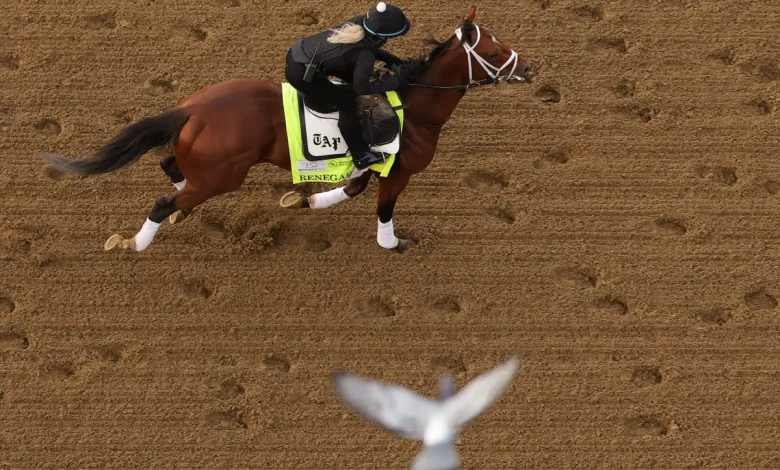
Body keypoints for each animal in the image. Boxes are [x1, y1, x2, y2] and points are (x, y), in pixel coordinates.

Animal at [38, 6, 532, 254]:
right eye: (494, 50)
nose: (528, 66)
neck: (416, 109)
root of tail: (191, 108)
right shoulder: (399, 169)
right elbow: (382, 207)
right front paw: (393, 243)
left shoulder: (375, 164)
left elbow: (352, 187)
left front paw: (306, 199)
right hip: (223, 175)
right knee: (163, 201)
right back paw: (136, 242)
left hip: (205, 160)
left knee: (169, 164)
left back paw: (181, 208)